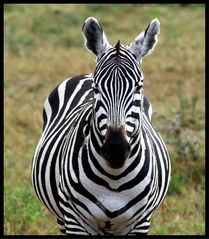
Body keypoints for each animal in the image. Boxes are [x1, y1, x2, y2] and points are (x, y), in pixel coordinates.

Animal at [31, 16, 171, 235]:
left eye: (138, 87)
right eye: (96, 88)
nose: (115, 150)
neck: (114, 178)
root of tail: (84, 74)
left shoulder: (141, 222)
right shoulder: (75, 220)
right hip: (61, 216)